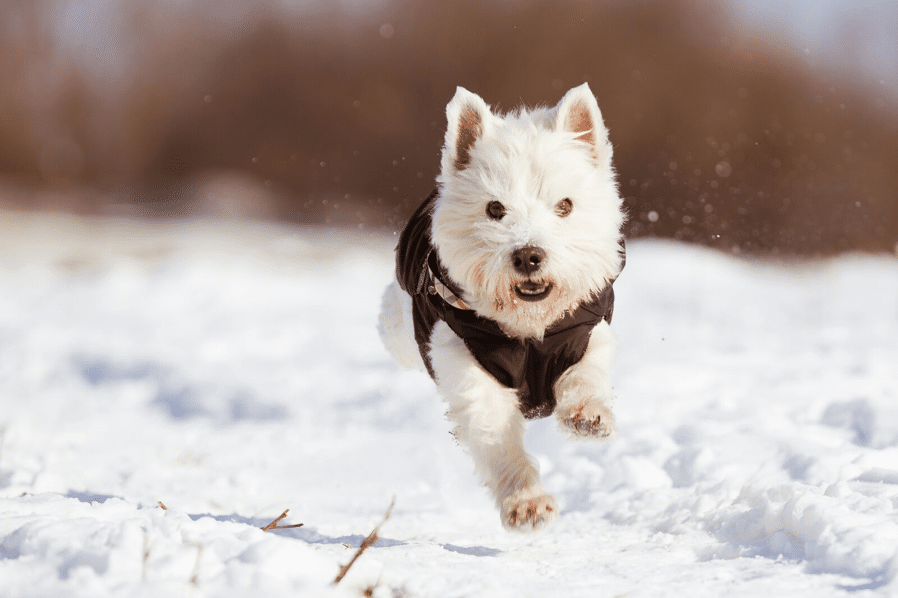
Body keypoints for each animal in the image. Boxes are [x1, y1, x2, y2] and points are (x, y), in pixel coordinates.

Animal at [376, 84, 624, 536]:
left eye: (565, 205)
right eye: (495, 208)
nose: (528, 256)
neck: (528, 330)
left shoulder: (587, 333)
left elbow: (586, 375)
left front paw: (588, 417)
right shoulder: (466, 365)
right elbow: (496, 437)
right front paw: (527, 505)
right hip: (396, 330)